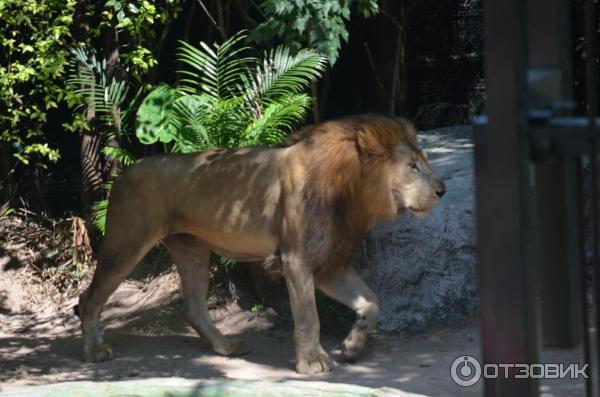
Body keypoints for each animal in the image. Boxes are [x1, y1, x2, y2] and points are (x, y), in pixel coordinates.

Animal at [76, 113, 446, 372]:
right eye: (412, 166)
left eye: (424, 162)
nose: (442, 191)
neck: (351, 193)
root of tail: (123, 173)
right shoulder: (296, 259)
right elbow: (308, 316)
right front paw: (312, 361)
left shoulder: (329, 262)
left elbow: (371, 302)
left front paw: (352, 345)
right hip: (127, 244)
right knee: (89, 298)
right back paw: (94, 350)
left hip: (192, 249)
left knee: (193, 306)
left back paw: (226, 347)